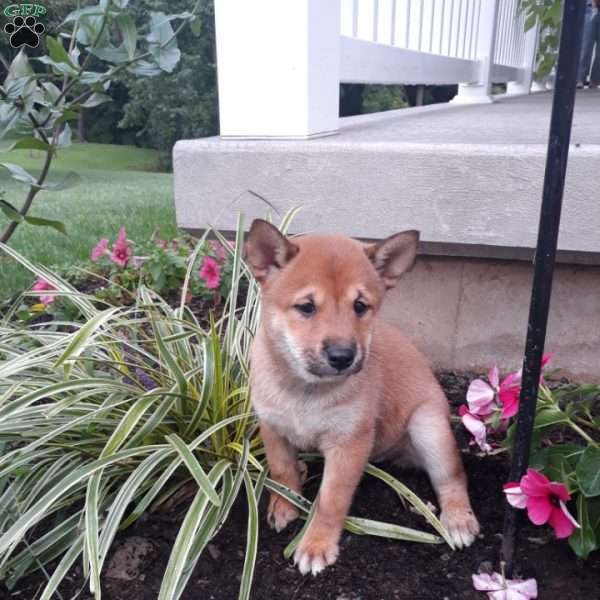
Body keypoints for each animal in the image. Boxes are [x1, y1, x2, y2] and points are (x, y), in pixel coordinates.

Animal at [244, 218, 478, 576]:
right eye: (306, 307)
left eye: (360, 306)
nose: (343, 356)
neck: (305, 389)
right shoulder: (272, 427)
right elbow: (281, 470)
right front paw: (284, 505)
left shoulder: (349, 443)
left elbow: (331, 500)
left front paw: (316, 544)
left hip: (428, 427)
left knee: (452, 477)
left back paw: (457, 519)